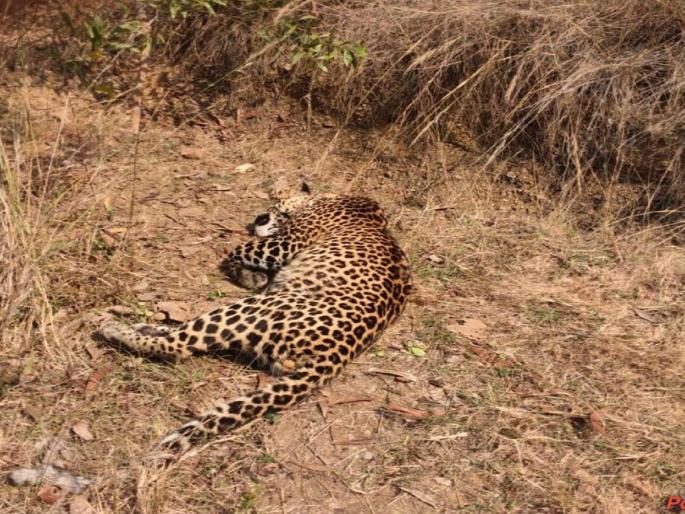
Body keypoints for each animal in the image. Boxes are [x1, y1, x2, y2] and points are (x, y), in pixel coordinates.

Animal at [99, 193, 412, 457]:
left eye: (273, 206)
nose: (259, 218)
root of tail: (337, 354)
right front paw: (254, 277)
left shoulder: (284, 242)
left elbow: (237, 251)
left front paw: (250, 275)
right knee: (183, 334)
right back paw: (141, 327)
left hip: (253, 308)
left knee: (178, 345)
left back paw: (110, 325)